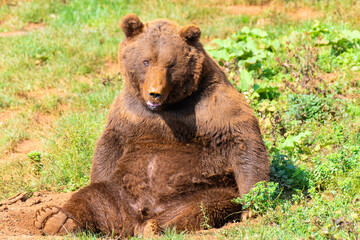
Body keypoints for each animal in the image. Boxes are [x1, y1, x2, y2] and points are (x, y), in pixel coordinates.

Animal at [34, 14, 270, 237]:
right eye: (146, 61)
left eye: (170, 64)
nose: (154, 92)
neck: (166, 108)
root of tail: (136, 217)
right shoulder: (130, 113)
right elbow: (109, 145)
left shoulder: (211, 105)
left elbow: (242, 139)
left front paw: (251, 208)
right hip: (121, 193)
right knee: (93, 198)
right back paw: (55, 219)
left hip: (198, 191)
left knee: (204, 206)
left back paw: (155, 227)